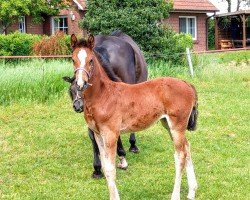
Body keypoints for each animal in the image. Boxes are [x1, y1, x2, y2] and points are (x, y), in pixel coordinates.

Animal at [63, 30, 147, 178]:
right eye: (73, 60)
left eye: (91, 60)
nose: (78, 106)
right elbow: (93, 136)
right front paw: (97, 168)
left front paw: (121, 158)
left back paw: (132, 145)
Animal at [71, 35, 199, 199]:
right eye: (73, 59)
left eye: (91, 60)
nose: (81, 83)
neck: (103, 94)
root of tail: (187, 84)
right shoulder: (98, 134)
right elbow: (106, 167)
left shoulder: (111, 134)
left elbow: (111, 169)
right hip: (168, 124)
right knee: (187, 148)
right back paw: (192, 191)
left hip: (177, 126)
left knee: (180, 155)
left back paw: (176, 195)